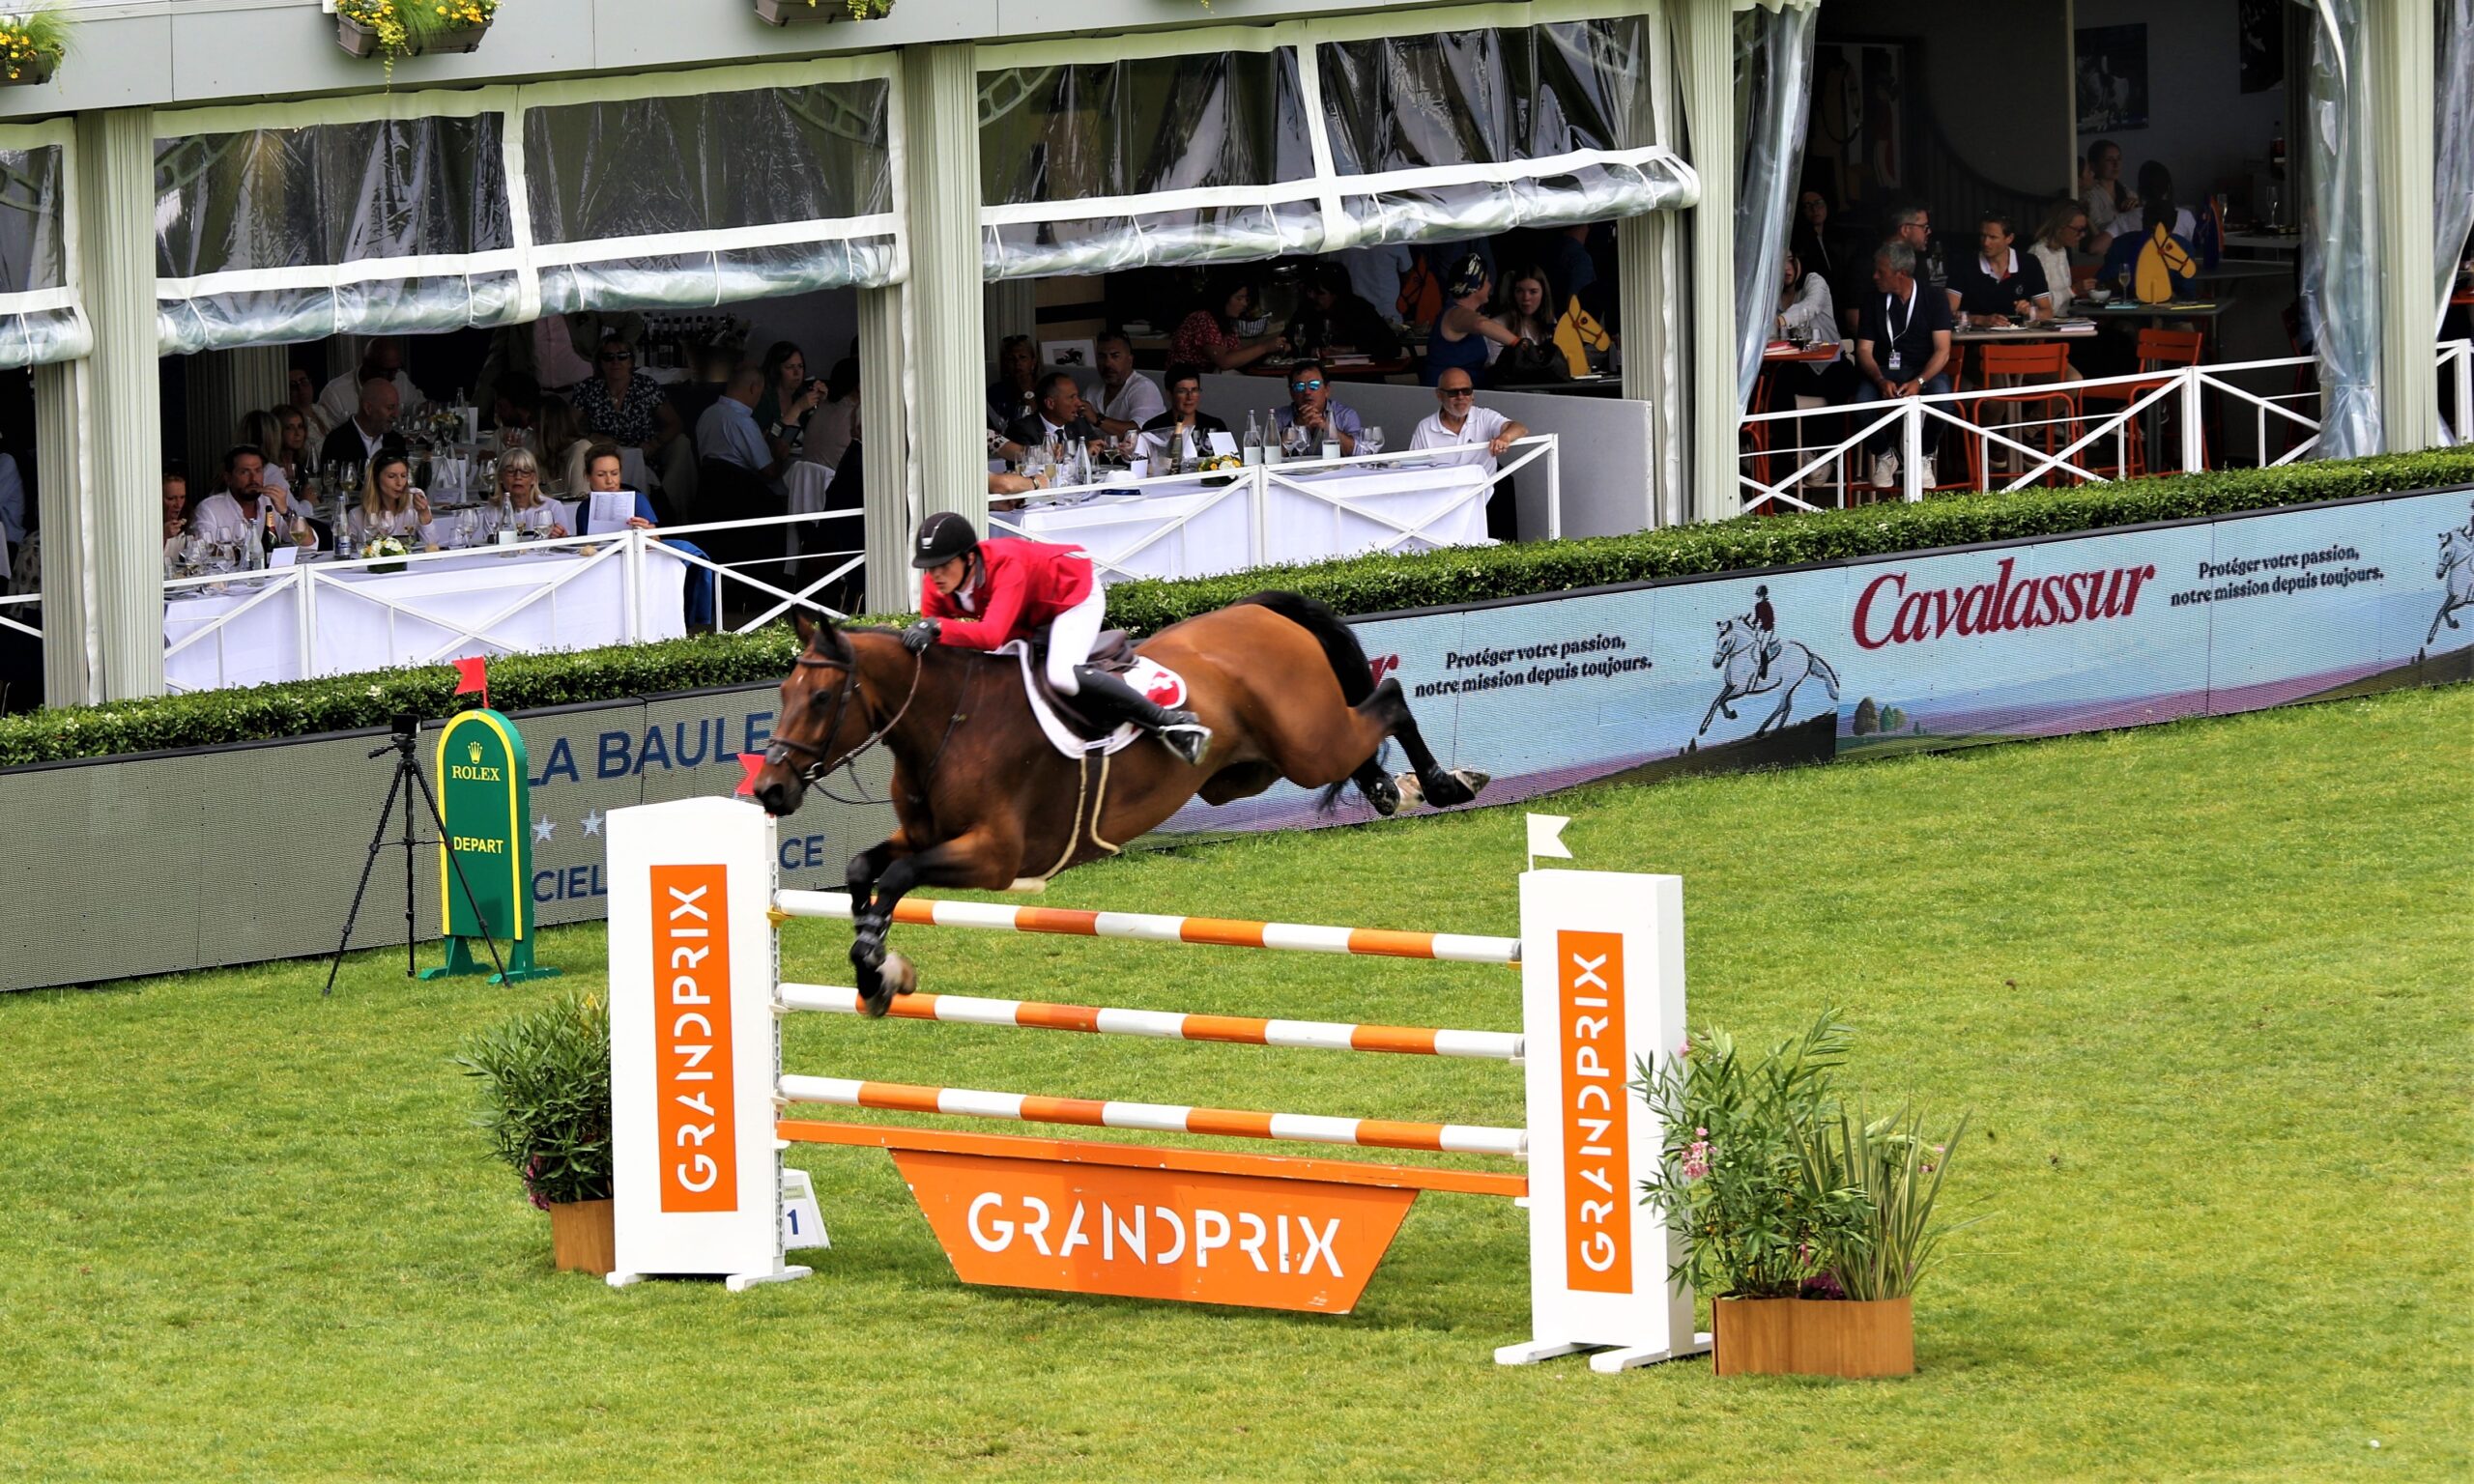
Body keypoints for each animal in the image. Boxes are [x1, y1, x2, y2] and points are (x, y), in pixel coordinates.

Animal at [751, 590, 1490, 1014]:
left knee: (1387, 698)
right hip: (1249, 771)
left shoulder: (996, 858)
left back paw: (1442, 783)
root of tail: (1260, 610)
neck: (950, 722)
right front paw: (874, 971)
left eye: (822, 697)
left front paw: (880, 964)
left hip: (1308, 744)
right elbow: (863, 869)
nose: (769, 789)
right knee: (1361, 725)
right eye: (782, 694)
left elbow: (899, 876)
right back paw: (1388, 787)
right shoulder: (925, 836)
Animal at [1698, 615, 1841, 741]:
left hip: (1787, 684)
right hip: (1790, 685)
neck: (1741, 656)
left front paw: (1731, 714)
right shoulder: (1730, 686)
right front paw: (1703, 728)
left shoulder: (1741, 689)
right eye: (1717, 642)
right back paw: (1777, 730)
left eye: (1725, 642)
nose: (1716, 664)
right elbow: (1716, 702)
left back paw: (1761, 731)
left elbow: (1723, 700)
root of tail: (1806, 652)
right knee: (1788, 706)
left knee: (1783, 705)